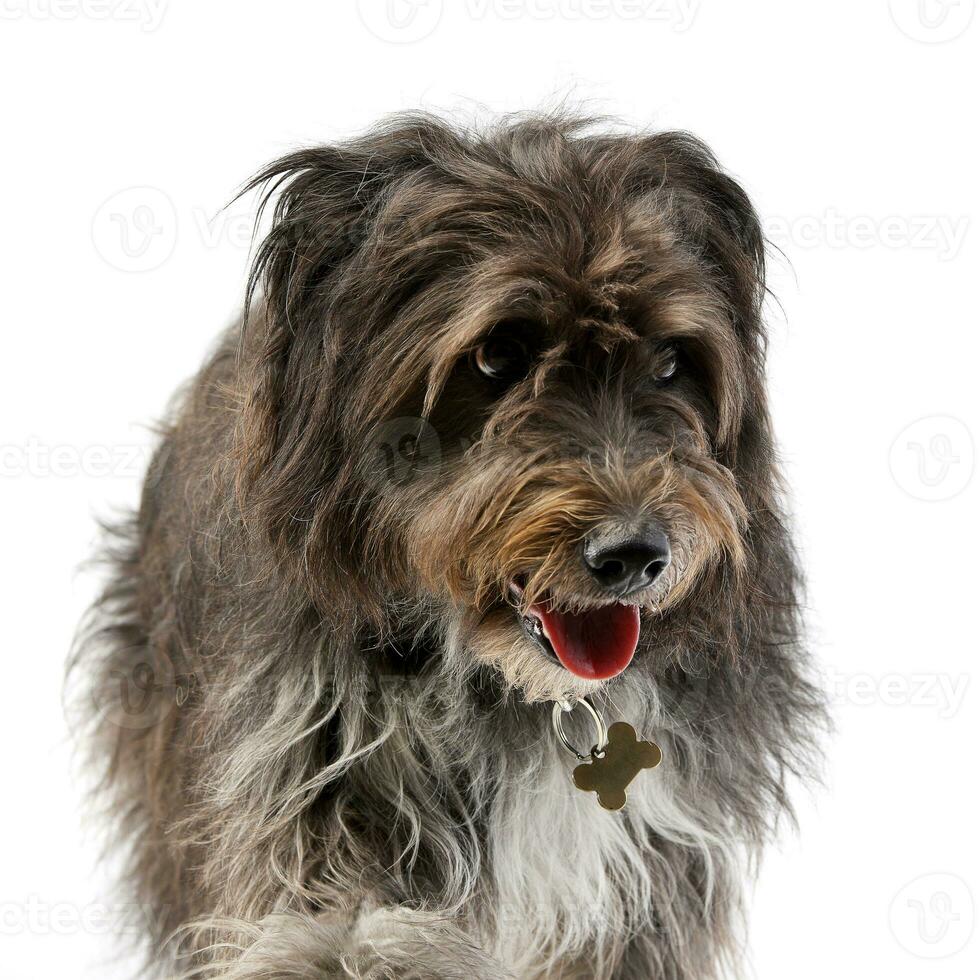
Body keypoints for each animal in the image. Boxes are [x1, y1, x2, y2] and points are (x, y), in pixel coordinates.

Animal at [72, 111, 828, 976]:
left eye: (672, 361)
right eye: (496, 355)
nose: (634, 555)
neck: (525, 696)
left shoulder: (648, 869)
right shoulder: (314, 769)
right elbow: (342, 921)